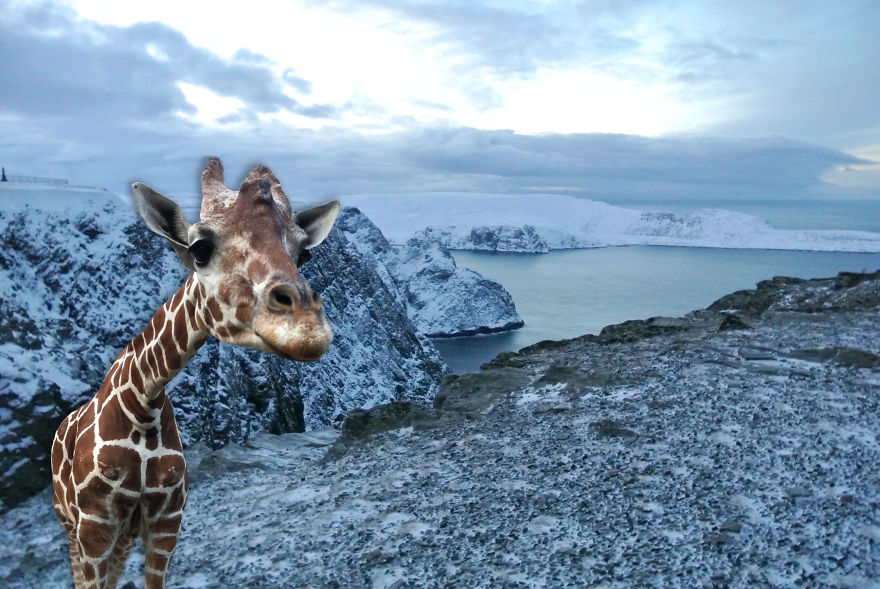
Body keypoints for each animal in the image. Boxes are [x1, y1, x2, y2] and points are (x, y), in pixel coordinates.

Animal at [50, 157, 341, 589]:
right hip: (70, 524)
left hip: (124, 532)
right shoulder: (94, 526)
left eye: (303, 254)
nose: (307, 329)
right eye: (199, 249)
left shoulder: (167, 520)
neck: (143, 405)